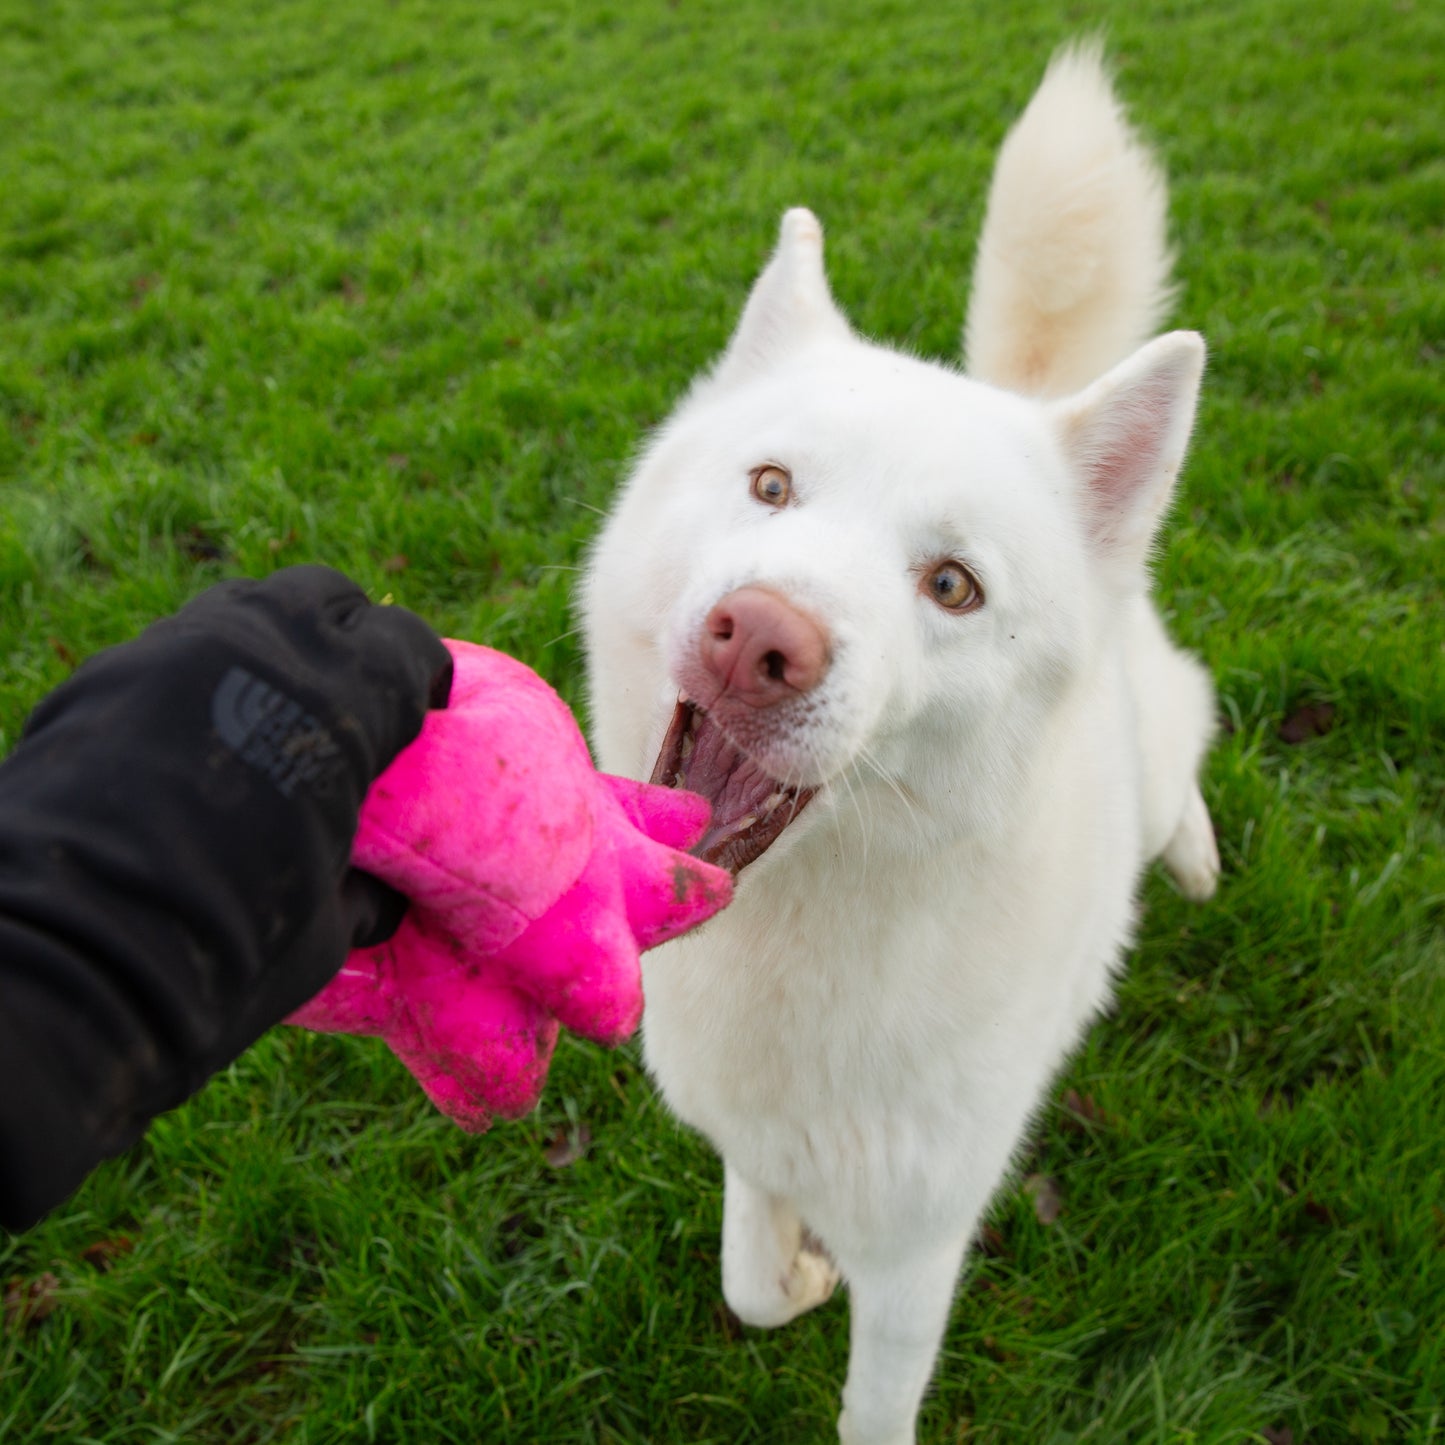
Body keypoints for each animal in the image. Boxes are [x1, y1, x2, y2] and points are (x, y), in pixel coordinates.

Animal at [575, 42, 1219, 1445]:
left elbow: (870, 1407)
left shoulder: (922, 1251)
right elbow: (747, 1277)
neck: (798, 937)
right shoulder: (748, 1140)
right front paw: (797, 1266)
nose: (756, 639)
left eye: (951, 586)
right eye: (769, 486)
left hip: (1156, 757)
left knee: (1190, 729)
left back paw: (1193, 853)